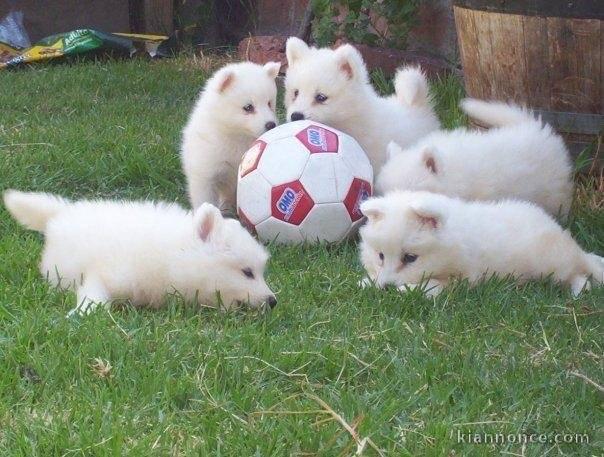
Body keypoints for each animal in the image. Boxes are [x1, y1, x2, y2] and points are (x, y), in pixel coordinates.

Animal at [3, 188, 278, 314]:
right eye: (247, 272)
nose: (273, 301)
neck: (170, 254)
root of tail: (60, 213)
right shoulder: (106, 272)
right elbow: (95, 294)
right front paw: (83, 313)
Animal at [180, 59, 282, 211]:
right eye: (248, 107)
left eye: (269, 103)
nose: (271, 125)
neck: (237, 136)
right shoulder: (205, 174)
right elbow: (205, 199)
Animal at [358, 191, 604, 298]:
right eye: (381, 256)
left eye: (410, 258)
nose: (386, 287)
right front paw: (368, 282)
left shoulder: (465, 277)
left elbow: (433, 285)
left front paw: (408, 289)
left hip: (553, 263)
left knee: (579, 273)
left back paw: (578, 290)